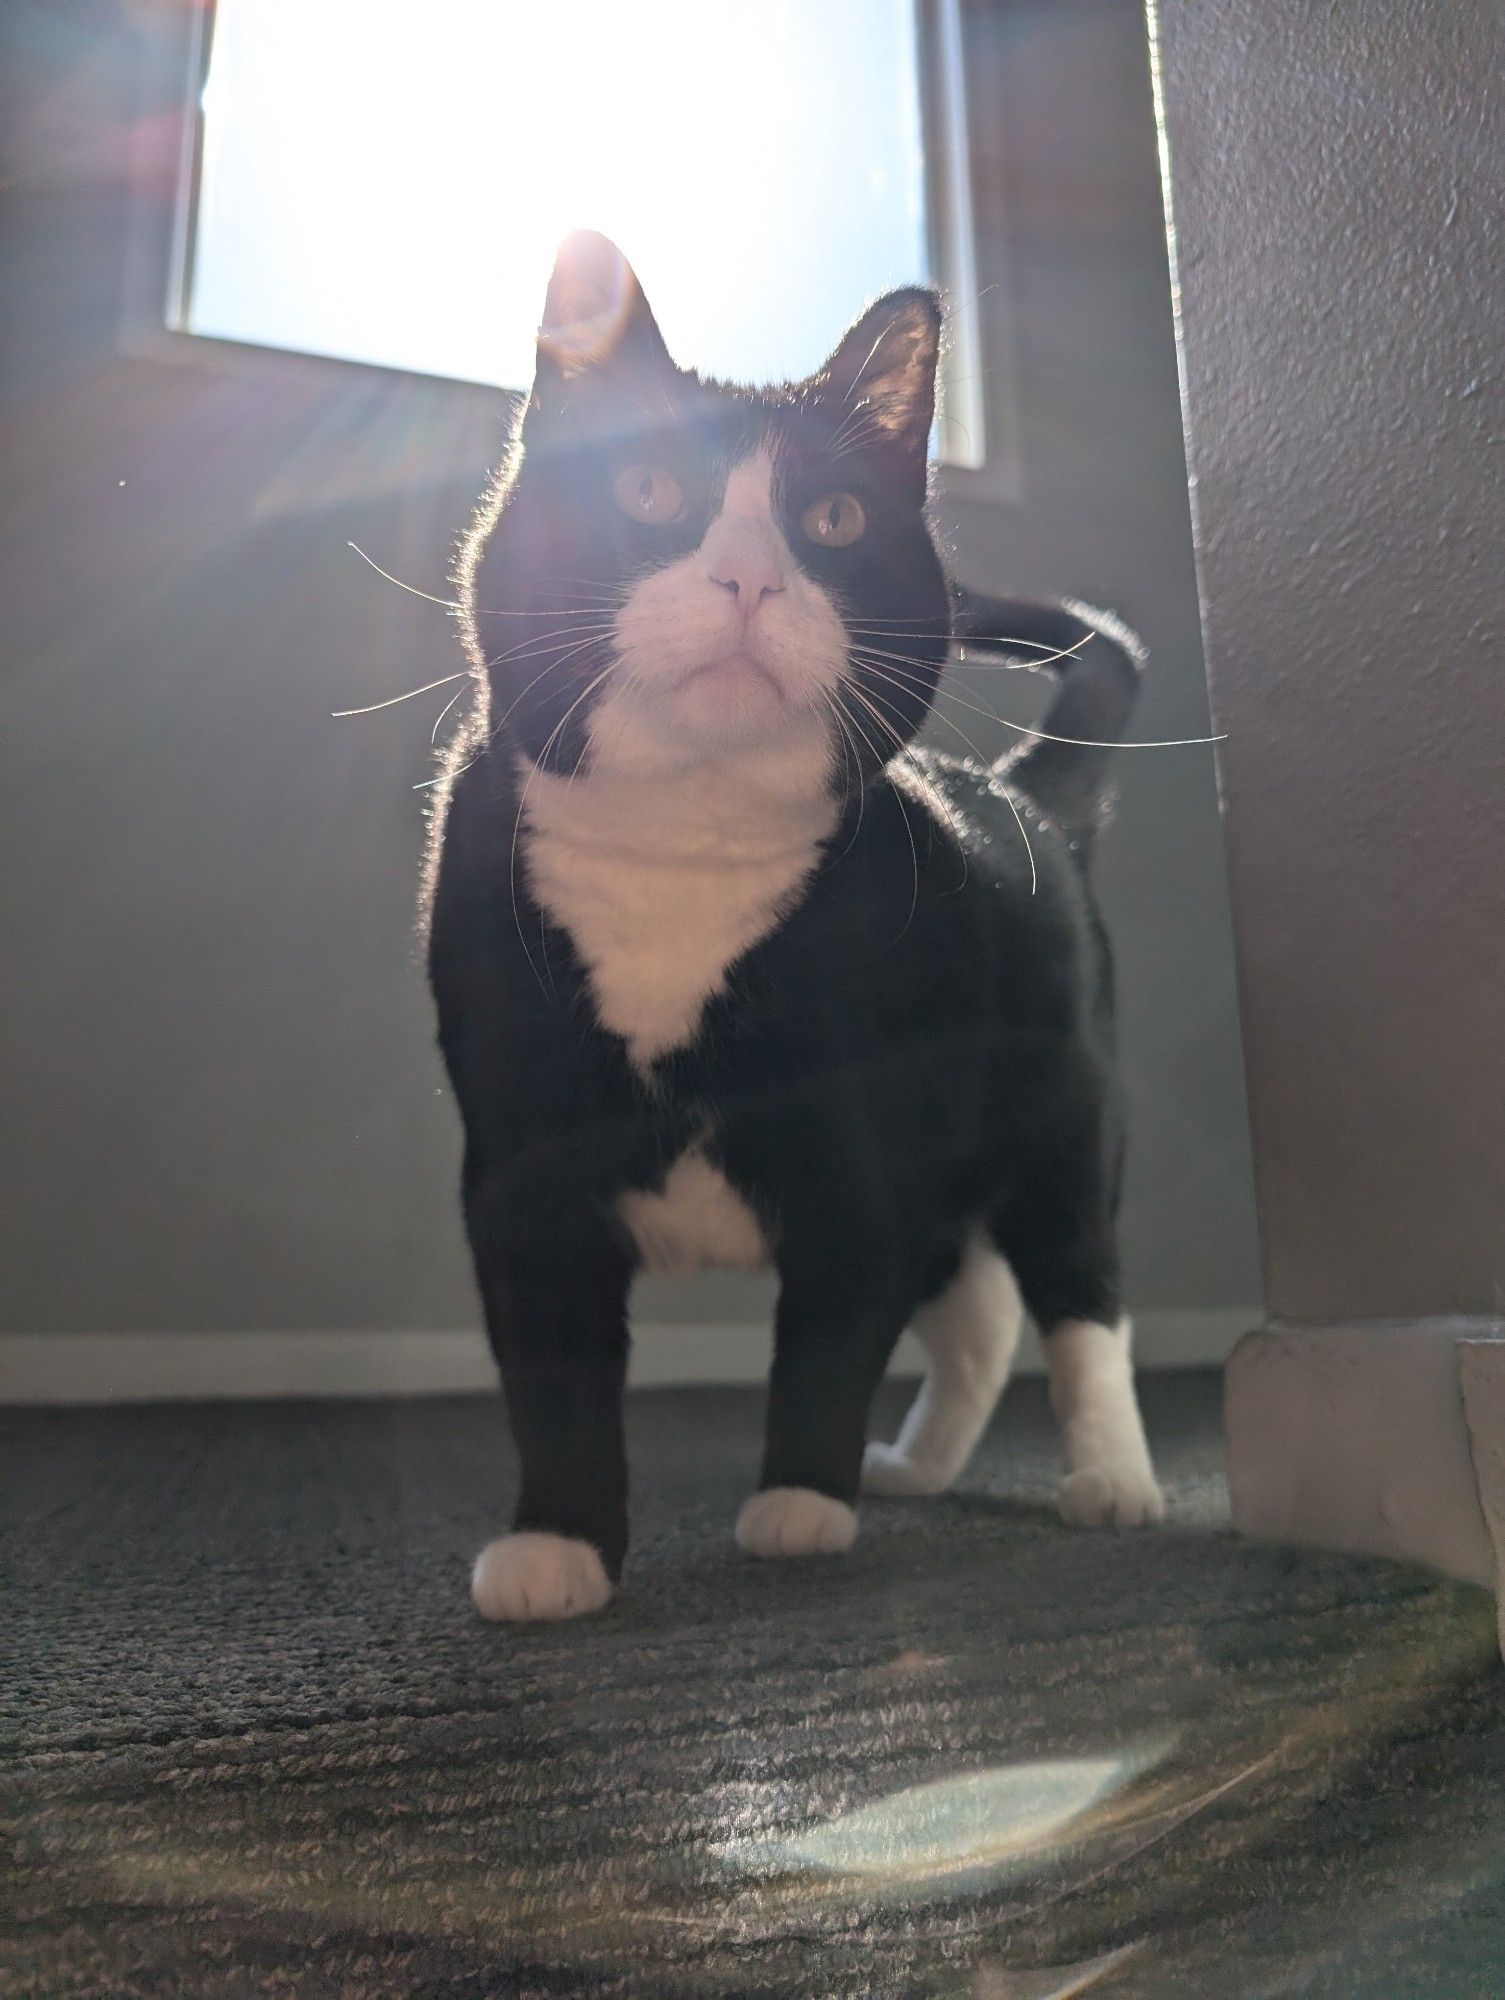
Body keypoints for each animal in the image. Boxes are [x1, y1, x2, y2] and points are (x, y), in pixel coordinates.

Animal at [424, 227, 1160, 1616]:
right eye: (646, 487)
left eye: (831, 519)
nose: (751, 575)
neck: (682, 857)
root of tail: (1025, 788)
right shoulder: (517, 1158)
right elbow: (549, 1361)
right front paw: (557, 1544)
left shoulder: (858, 1149)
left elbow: (826, 1337)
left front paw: (799, 1505)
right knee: (976, 1305)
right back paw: (919, 1466)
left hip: (1060, 1114)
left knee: (1076, 1291)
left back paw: (1111, 1480)